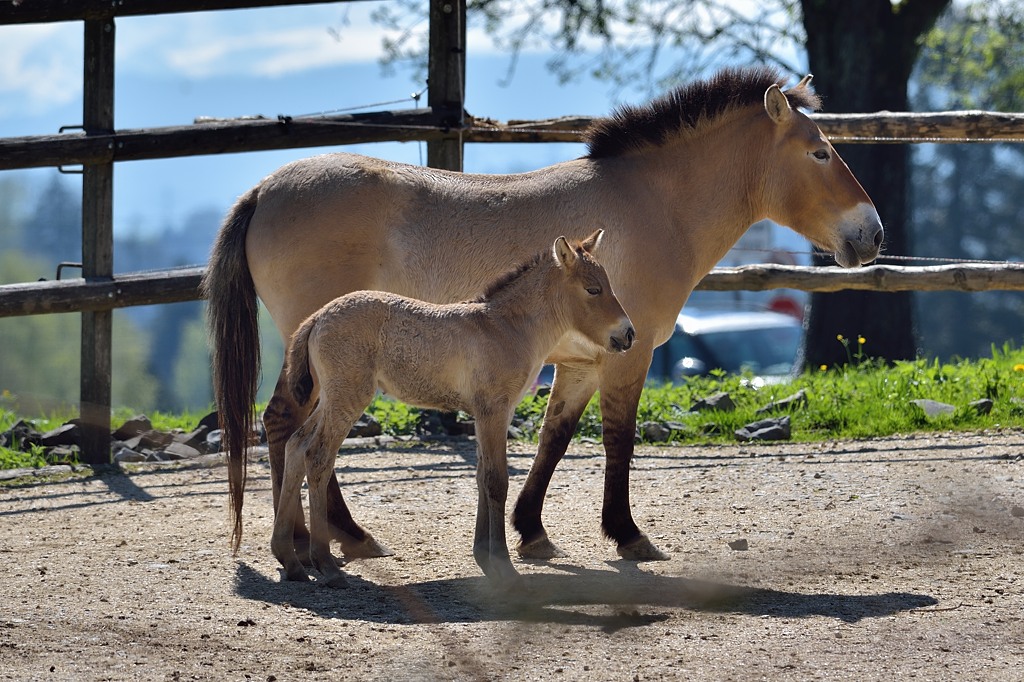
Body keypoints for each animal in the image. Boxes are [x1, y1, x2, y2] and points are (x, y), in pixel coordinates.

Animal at [272, 231, 633, 587]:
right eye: (593, 289)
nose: (628, 334)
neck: (506, 328)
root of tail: (318, 317)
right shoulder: (493, 410)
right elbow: (496, 480)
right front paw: (503, 565)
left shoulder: (491, 414)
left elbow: (481, 474)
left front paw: (484, 557)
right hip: (347, 398)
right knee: (318, 457)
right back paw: (325, 564)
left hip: (329, 399)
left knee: (296, 446)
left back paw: (290, 560)